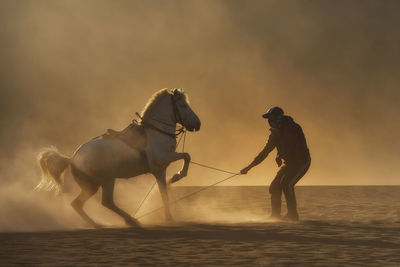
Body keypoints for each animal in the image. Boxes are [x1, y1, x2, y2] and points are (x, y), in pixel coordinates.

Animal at [35, 88, 200, 228]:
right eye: (184, 105)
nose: (198, 124)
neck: (155, 132)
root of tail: (72, 158)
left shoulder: (160, 170)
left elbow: (164, 192)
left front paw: (169, 217)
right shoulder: (162, 161)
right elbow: (186, 156)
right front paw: (178, 175)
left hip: (93, 186)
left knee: (78, 204)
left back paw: (101, 223)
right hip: (106, 181)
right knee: (105, 202)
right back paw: (128, 220)